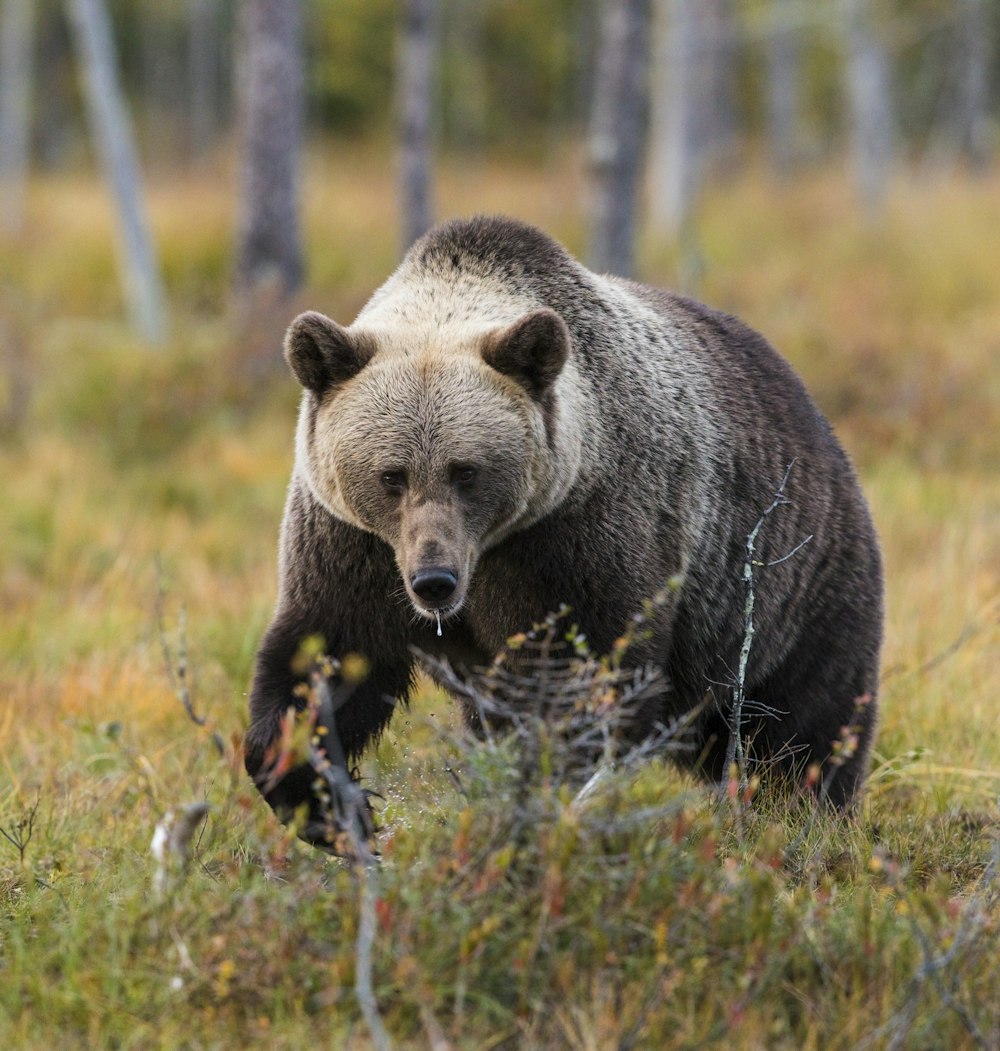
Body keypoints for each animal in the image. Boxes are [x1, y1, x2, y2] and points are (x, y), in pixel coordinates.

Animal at [243, 215, 883, 845]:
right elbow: (325, 653)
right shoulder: (353, 544)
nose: (434, 580)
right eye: (391, 475)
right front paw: (327, 801)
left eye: (465, 471)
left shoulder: (582, 535)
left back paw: (808, 816)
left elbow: (583, 677)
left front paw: (536, 793)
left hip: (788, 586)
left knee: (803, 726)